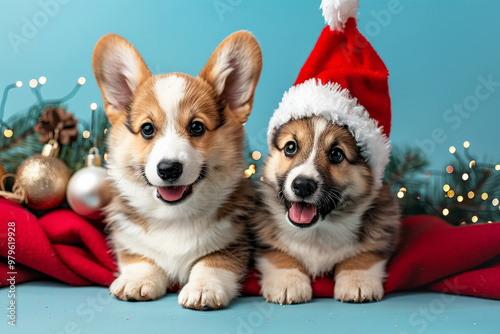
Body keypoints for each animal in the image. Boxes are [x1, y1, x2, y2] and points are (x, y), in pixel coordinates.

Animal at [94, 32, 266, 310]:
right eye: (147, 129)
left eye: (197, 127)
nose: (168, 169)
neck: (174, 217)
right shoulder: (129, 238)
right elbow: (140, 258)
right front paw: (136, 281)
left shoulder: (233, 242)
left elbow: (212, 263)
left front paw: (204, 289)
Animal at [254, 116, 398, 304]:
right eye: (290, 147)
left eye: (336, 154)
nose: (303, 186)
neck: (318, 231)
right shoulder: (266, 240)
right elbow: (280, 254)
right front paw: (288, 282)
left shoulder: (380, 234)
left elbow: (363, 255)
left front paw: (358, 281)